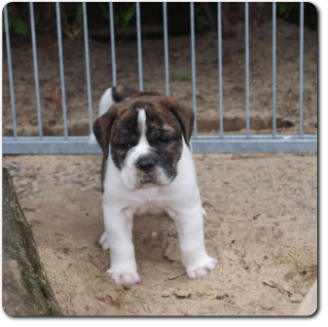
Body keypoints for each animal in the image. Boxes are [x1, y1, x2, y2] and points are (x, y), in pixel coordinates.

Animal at [92, 85, 218, 284]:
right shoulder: (117, 211)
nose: (145, 163)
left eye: (165, 140)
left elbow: (192, 241)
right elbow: (121, 244)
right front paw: (123, 273)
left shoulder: (186, 209)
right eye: (124, 145)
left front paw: (198, 266)